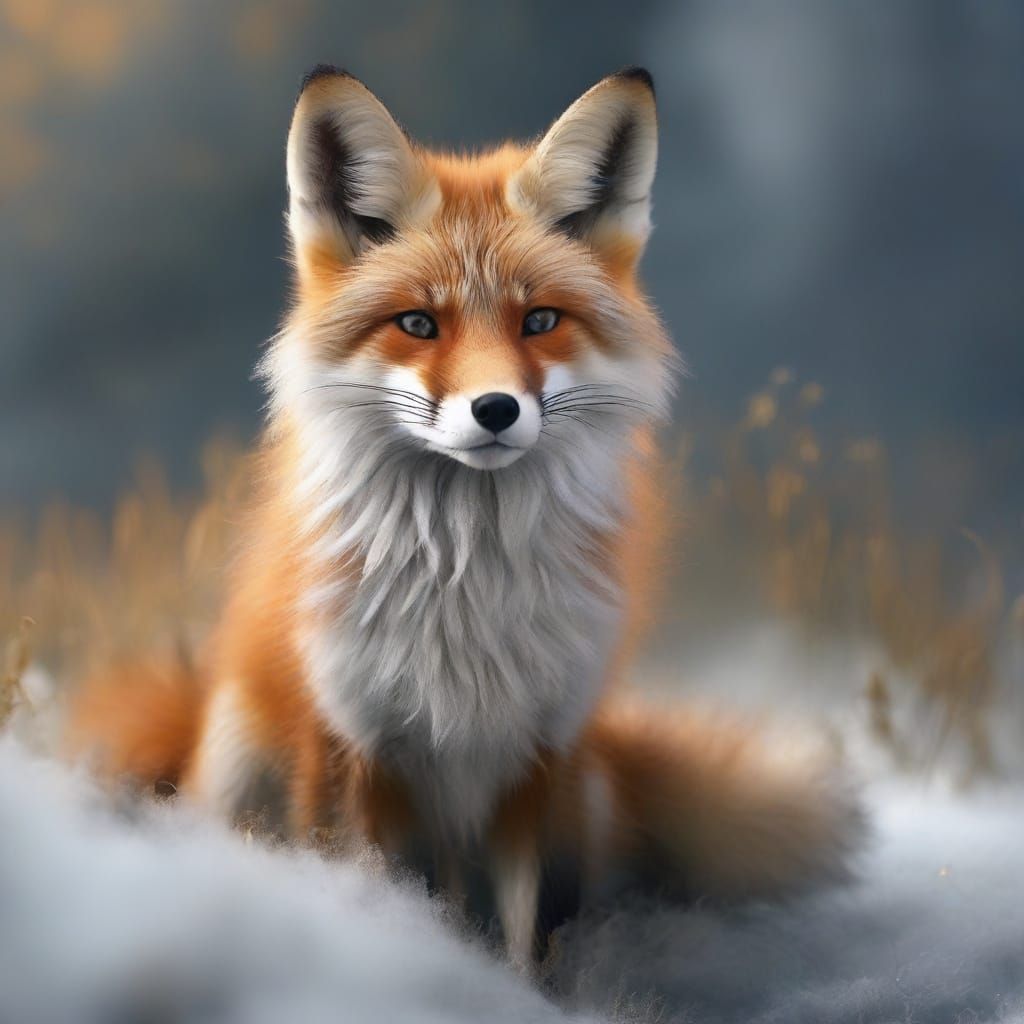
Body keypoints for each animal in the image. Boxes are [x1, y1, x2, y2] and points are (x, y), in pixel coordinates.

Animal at [68, 66, 865, 969]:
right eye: (419, 323)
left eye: (539, 320)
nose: (495, 409)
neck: (464, 586)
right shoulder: (353, 748)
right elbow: (369, 902)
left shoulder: (542, 755)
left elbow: (530, 940)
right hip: (247, 760)